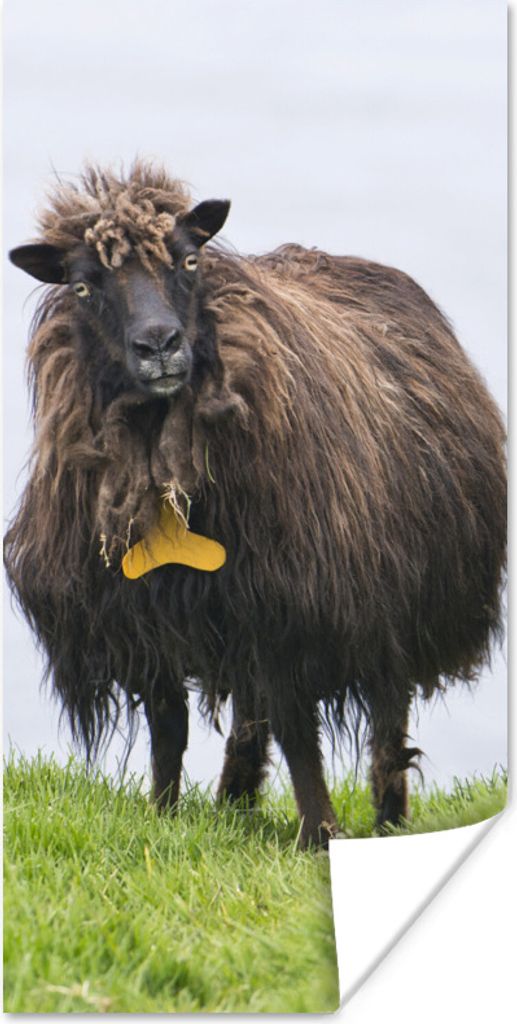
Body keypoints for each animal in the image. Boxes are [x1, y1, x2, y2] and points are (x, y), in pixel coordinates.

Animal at [5, 161, 506, 847]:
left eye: (190, 261)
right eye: (82, 286)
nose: (159, 344)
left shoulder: (293, 610)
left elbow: (299, 734)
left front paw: (319, 836)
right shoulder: (146, 616)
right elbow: (169, 730)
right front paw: (163, 818)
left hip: (396, 600)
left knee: (386, 718)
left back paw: (386, 821)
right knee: (250, 715)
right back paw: (233, 803)